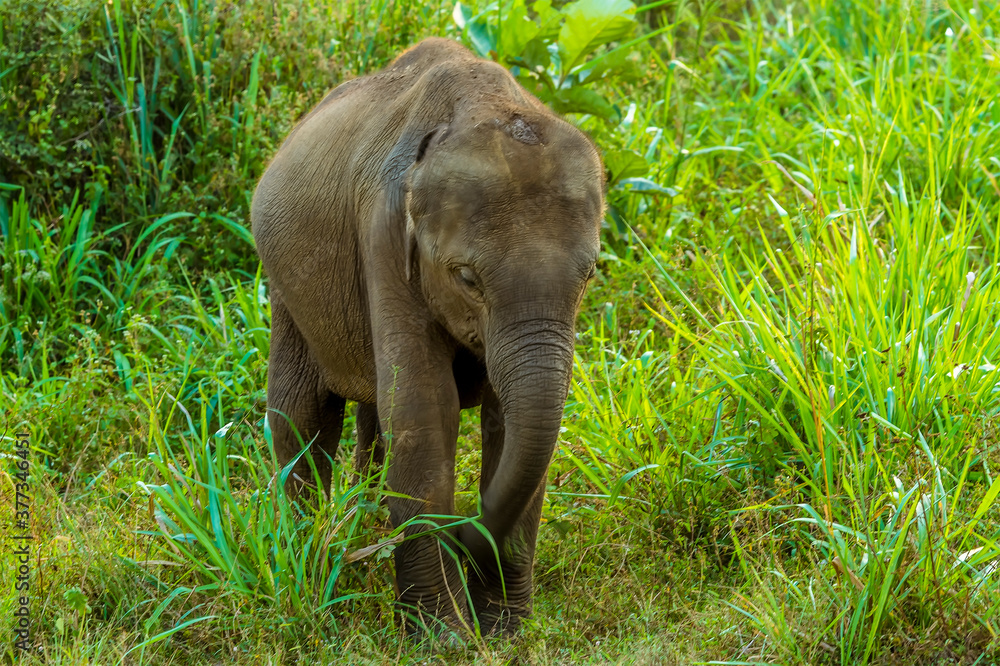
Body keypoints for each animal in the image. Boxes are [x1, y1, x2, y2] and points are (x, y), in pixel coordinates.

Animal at [250, 37, 604, 632]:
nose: (465, 537)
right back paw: (311, 554)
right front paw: (446, 635)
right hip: (284, 284)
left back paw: (364, 526)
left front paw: (505, 629)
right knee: (301, 415)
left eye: (592, 273)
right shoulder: (383, 235)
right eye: (466, 278)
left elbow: (507, 424)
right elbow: (424, 409)